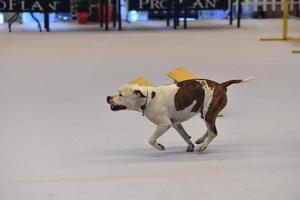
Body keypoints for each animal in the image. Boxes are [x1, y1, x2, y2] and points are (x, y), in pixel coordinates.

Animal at [106, 77, 254, 152]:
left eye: (120, 94)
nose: (108, 97)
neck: (149, 98)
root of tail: (221, 85)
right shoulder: (176, 123)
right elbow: (184, 135)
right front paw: (189, 144)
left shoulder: (164, 125)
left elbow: (151, 139)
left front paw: (159, 147)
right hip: (206, 113)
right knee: (210, 128)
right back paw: (200, 140)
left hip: (209, 112)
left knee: (214, 132)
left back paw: (203, 146)